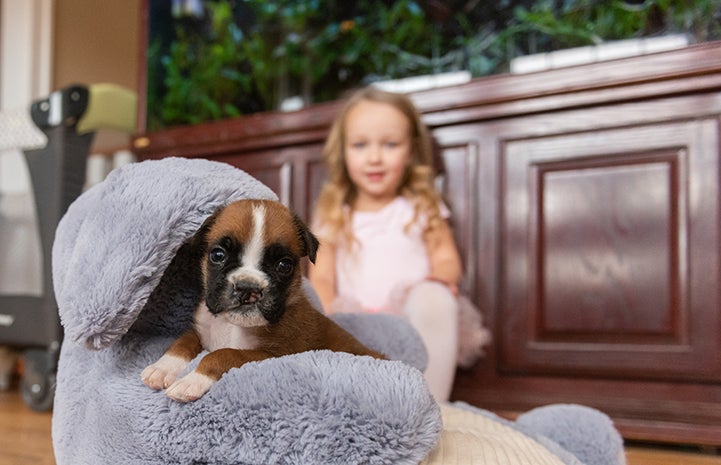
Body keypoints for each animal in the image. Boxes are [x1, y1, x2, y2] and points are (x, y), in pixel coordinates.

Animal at [143, 200, 386, 402]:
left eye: (284, 265)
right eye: (218, 255)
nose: (248, 288)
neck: (232, 326)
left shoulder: (270, 355)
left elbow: (222, 354)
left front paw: (191, 380)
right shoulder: (202, 332)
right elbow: (182, 342)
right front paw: (162, 367)